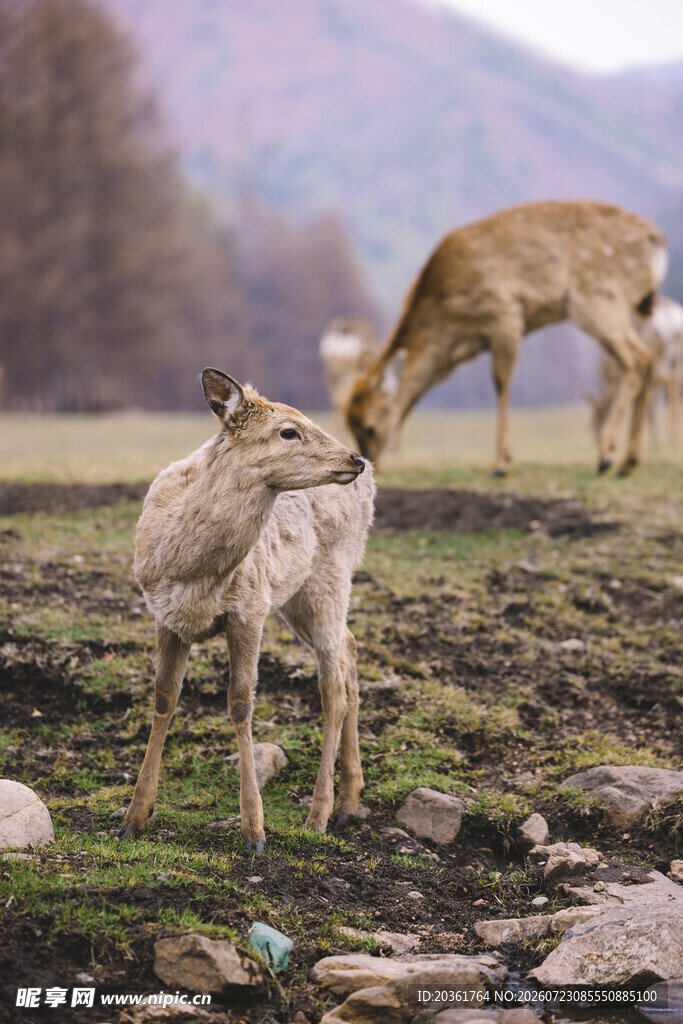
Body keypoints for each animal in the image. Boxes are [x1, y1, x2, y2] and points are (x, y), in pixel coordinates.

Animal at [116, 369, 375, 854]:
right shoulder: (163, 615)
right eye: (288, 430)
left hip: (329, 578)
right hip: (301, 596)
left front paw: (254, 831)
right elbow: (163, 697)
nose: (356, 459)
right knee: (349, 649)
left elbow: (240, 703)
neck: (192, 572)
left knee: (332, 685)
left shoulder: (250, 608)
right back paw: (349, 802)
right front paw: (133, 818)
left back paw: (319, 814)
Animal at [345, 200, 668, 477]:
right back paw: (628, 462)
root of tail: (657, 244)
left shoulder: (505, 313)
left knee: (636, 359)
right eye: (351, 425)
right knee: (649, 359)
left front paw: (501, 463)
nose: (372, 465)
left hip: (598, 297)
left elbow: (501, 381)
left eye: (370, 427)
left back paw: (605, 455)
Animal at [590, 294, 683, 447]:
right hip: (674, 363)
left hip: (659, 364)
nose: (595, 437)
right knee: (674, 385)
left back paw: (671, 438)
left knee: (670, 383)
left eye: (596, 417)